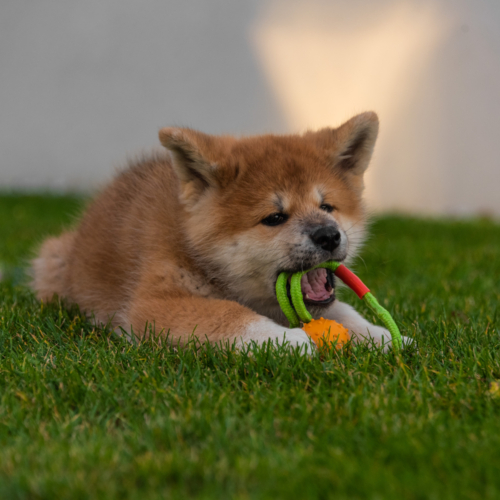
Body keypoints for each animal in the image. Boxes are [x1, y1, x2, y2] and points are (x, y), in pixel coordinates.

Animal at [31, 111, 408, 350]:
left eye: (327, 207)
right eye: (275, 217)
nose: (329, 235)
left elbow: (345, 311)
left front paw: (384, 337)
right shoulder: (153, 304)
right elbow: (229, 314)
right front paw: (289, 340)